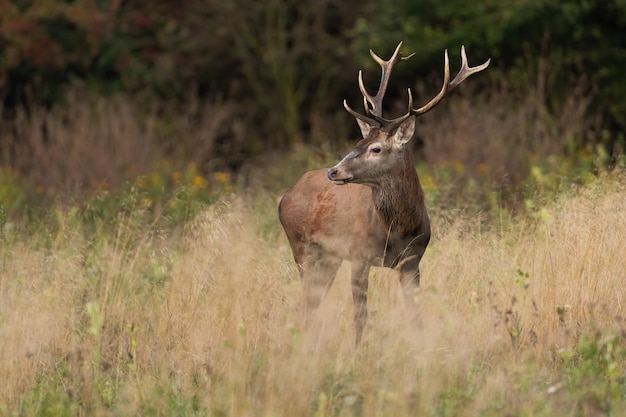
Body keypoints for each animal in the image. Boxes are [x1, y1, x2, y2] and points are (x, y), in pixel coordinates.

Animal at [278, 41, 488, 344]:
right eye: (358, 142)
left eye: (375, 148)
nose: (334, 172)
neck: (397, 229)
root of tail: (285, 196)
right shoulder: (358, 255)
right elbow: (360, 317)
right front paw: (358, 351)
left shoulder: (413, 261)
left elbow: (415, 316)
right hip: (301, 247)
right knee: (307, 301)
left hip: (328, 258)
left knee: (312, 302)